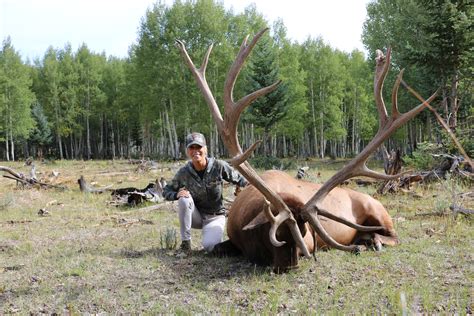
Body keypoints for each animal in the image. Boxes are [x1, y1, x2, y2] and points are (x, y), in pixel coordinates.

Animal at [176, 29, 438, 272]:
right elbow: (216, 248)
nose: (290, 264)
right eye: (277, 231)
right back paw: (365, 241)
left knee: (394, 236)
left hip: (379, 211)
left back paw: (373, 242)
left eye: (304, 232)